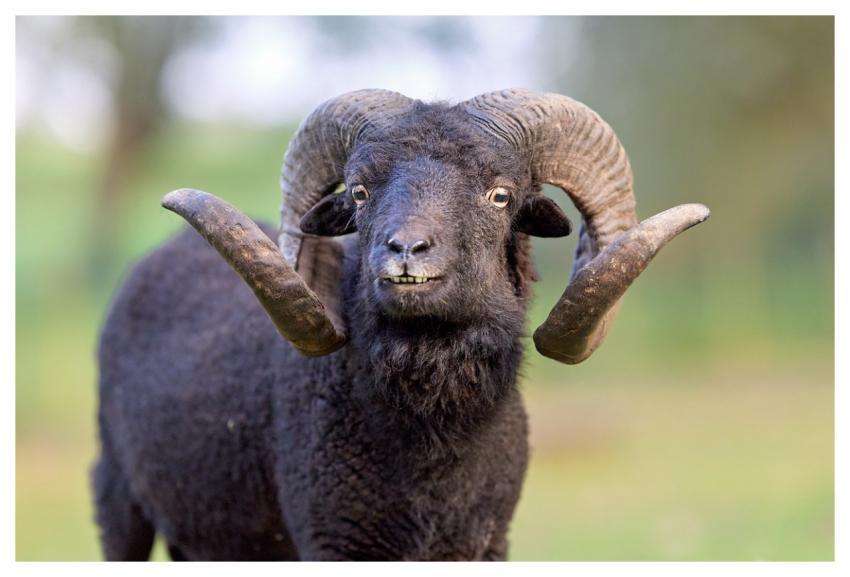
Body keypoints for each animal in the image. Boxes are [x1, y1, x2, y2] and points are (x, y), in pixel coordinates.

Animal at [92, 88, 709, 561]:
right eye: (360, 192)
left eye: (500, 194)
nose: (406, 250)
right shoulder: (336, 542)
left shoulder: (485, 544)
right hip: (117, 498)